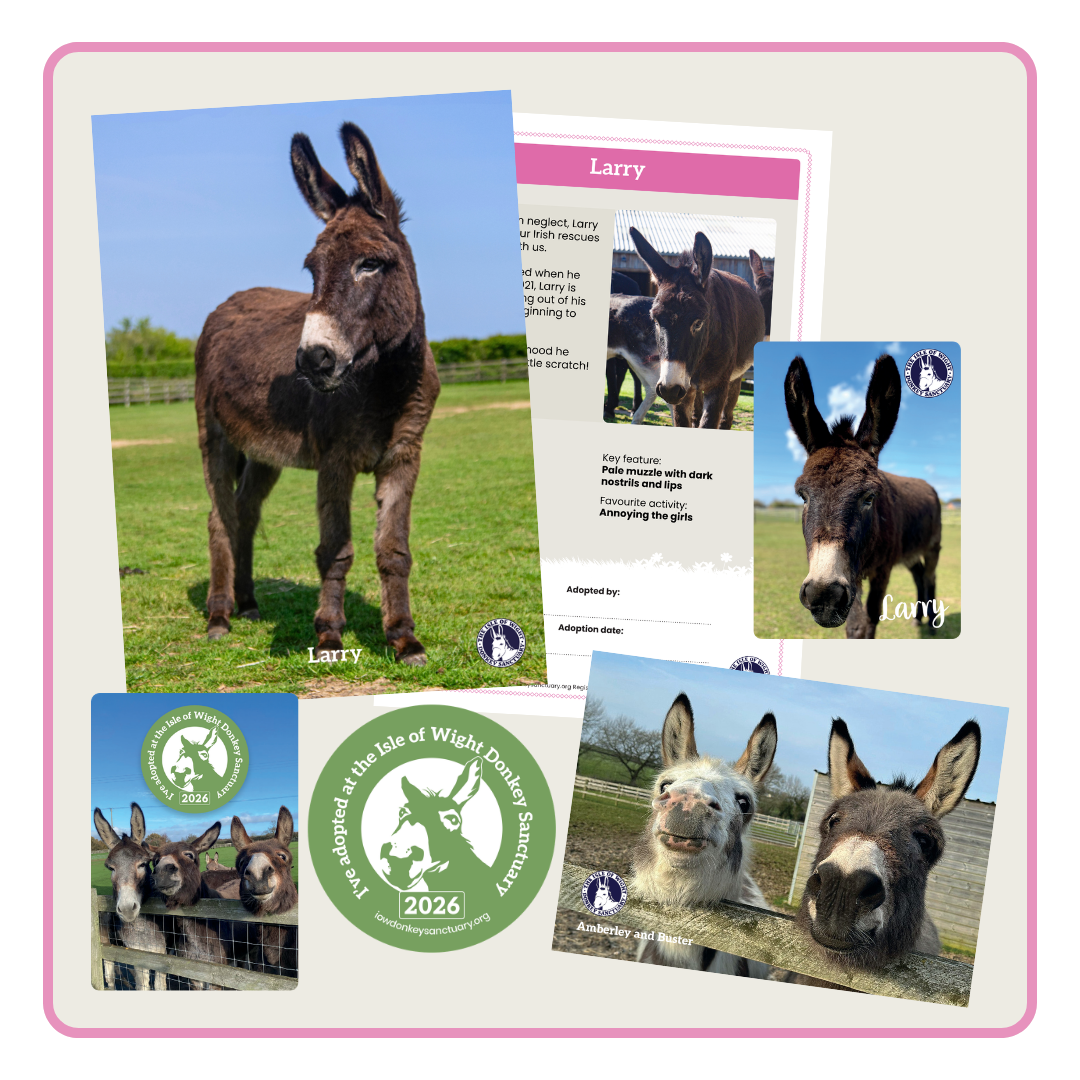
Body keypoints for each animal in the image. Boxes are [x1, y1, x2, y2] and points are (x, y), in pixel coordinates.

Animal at [194, 121, 439, 664]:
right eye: (311, 270)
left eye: (370, 264)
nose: (311, 360)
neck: (385, 385)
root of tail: (231, 300)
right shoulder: (335, 459)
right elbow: (335, 550)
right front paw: (328, 634)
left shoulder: (405, 454)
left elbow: (394, 550)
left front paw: (403, 637)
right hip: (214, 433)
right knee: (220, 518)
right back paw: (220, 616)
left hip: (263, 452)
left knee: (246, 511)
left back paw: (248, 603)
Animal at [629, 227, 765, 428]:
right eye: (655, 320)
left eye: (698, 323)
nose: (669, 390)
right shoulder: (682, 393)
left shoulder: (718, 387)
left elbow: (709, 422)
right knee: (696, 414)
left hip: (735, 378)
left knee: (726, 418)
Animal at [785, 353, 944, 637]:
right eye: (803, 497)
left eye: (869, 498)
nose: (823, 595)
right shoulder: (853, 575)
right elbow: (855, 625)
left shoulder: (881, 570)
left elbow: (869, 619)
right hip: (910, 551)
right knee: (918, 575)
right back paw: (918, 619)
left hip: (932, 546)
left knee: (930, 577)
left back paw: (932, 623)